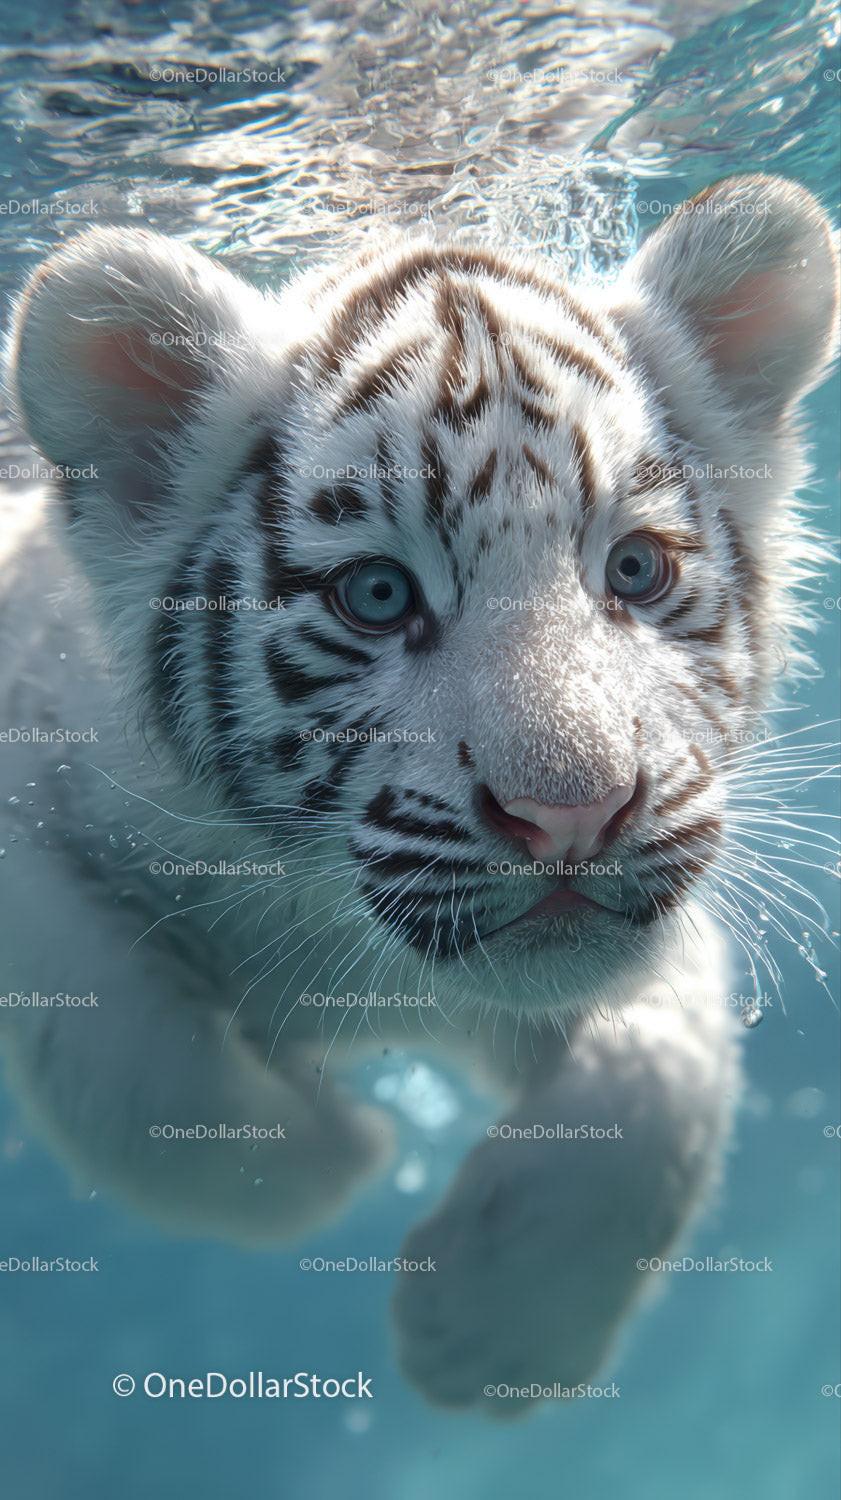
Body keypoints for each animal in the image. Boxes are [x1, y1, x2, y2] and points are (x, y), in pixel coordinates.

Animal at [0, 172, 837, 1414]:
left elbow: (660, 1063)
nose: (573, 814)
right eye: (377, 595)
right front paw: (333, 1157)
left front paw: (495, 1336)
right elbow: (127, 1064)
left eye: (637, 570)